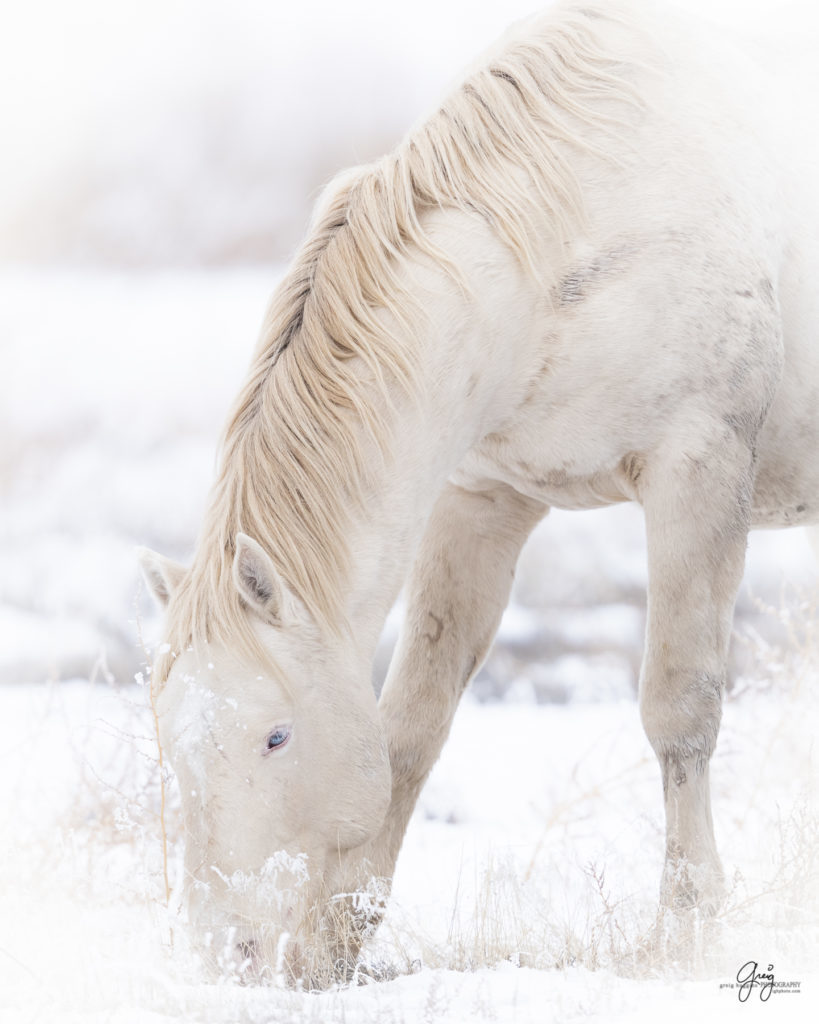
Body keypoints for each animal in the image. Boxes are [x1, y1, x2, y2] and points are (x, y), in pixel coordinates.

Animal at [141, 0, 818, 983]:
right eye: (168, 738)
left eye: (275, 735)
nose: (223, 952)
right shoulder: (479, 501)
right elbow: (410, 727)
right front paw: (338, 944)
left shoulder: (699, 471)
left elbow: (679, 711)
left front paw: (687, 928)